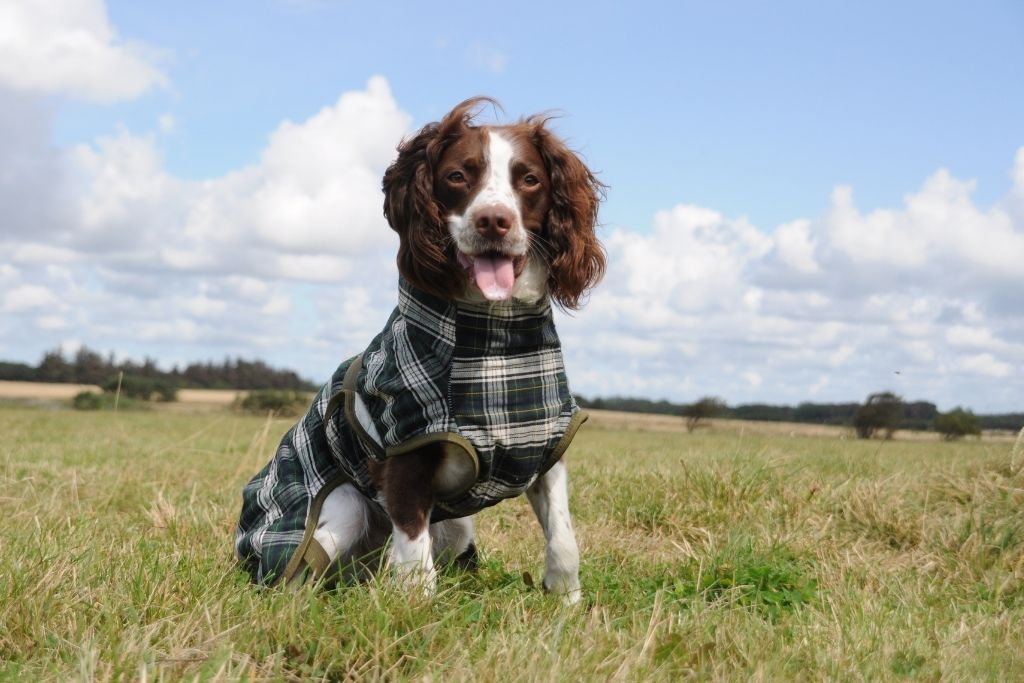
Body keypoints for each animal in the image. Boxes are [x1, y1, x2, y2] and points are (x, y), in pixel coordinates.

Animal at [235, 97, 602, 602]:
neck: (495, 341)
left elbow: (564, 534)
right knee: (304, 569)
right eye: (457, 176)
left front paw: (566, 598)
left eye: (529, 179)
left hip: (457, 527)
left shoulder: (544, 444)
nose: (494, 221)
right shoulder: (405, 455)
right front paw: (415, 609)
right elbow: (413, 552)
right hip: (341, 506)